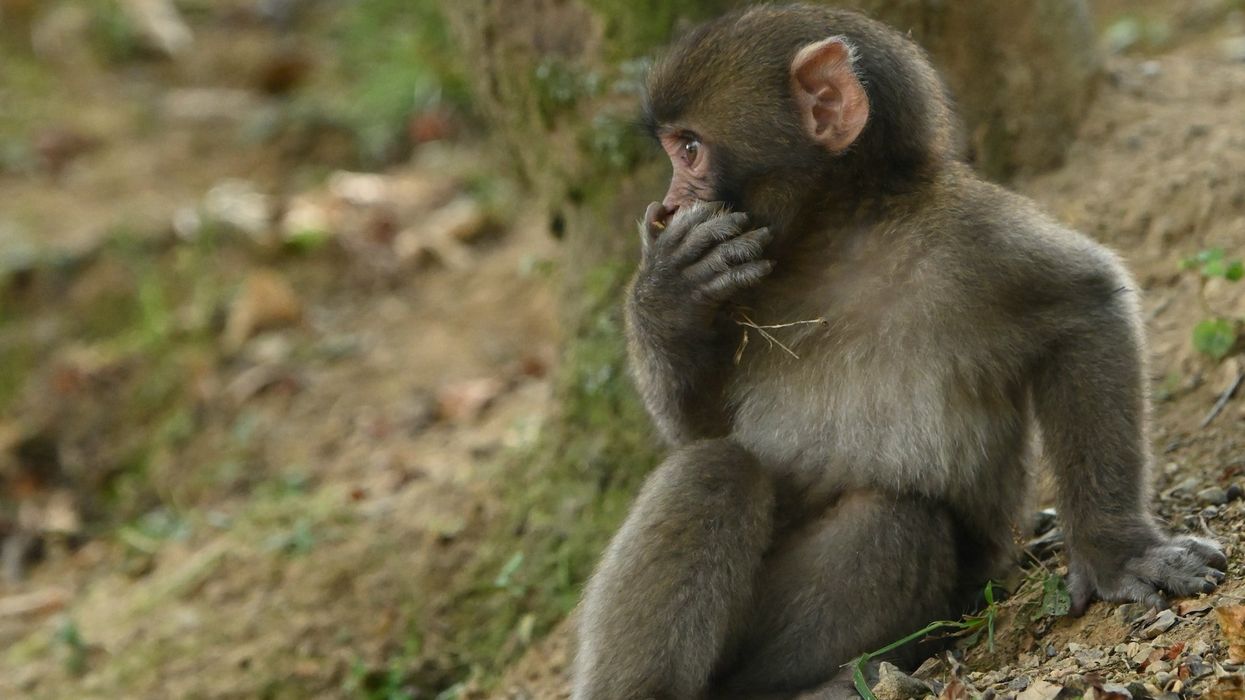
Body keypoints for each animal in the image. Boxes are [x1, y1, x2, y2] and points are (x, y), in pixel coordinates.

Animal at [570, 5, 1228, 700]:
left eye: (690, 149)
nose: (669, 206)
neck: (838, 241)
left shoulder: (970, 236)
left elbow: (1085, 307)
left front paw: (1116, 550)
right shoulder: (744, 284)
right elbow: (699, 430)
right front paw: (666, 296)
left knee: (893, 521)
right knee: (710, 469)